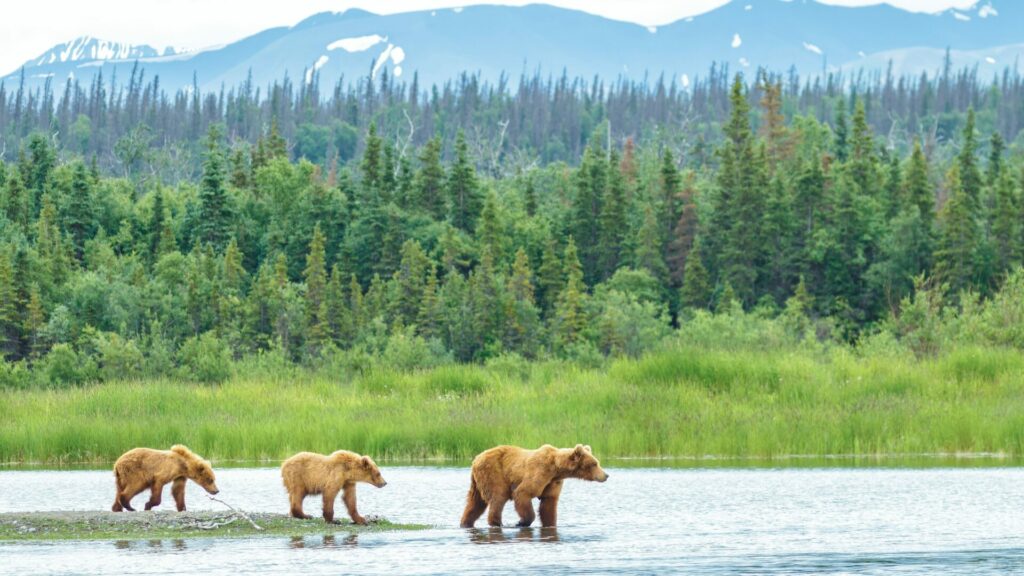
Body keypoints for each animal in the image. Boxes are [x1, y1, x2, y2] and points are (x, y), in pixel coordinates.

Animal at [462, 440, 606, 528]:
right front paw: (521, 522)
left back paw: (465, 522)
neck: (556, 469)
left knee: (475, 502)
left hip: (478, 481)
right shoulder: (539, 471)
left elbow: (548, 504)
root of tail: (475, 459)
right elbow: (523, 493)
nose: (606, 475)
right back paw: (497, 523)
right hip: (493, 473)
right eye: (594, 464)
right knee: (498, 497)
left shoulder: (552, 482)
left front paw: (550, 523)